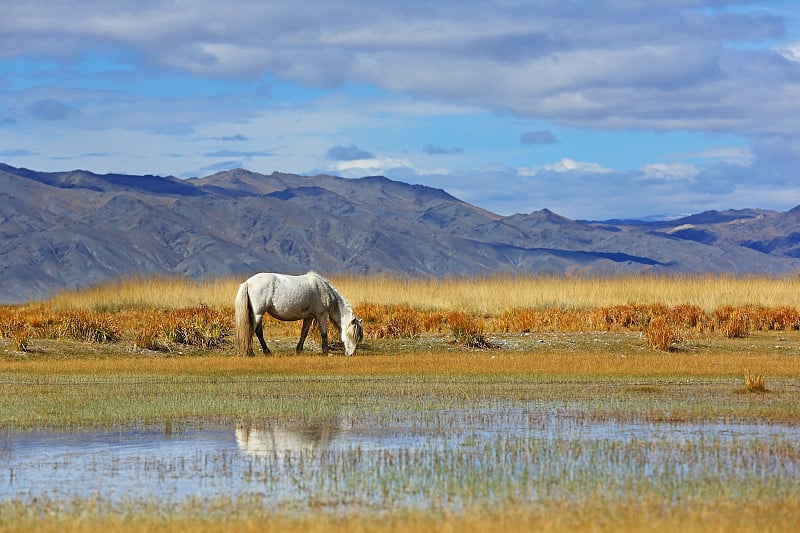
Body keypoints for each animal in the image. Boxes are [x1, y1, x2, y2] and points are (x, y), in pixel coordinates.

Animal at [234, 272, 362, 356]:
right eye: (353, 335)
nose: (352, 354)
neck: (324, 290)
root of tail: (247, 283)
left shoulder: (309, 317)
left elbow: (304, 333)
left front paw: (299, 350)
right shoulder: (321, 315)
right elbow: (324, 333)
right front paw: (326, 352)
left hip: (258, 315)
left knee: (258, 332)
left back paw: (267, 352)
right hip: (258, 314)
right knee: (251, 331)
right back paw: (250, 352)